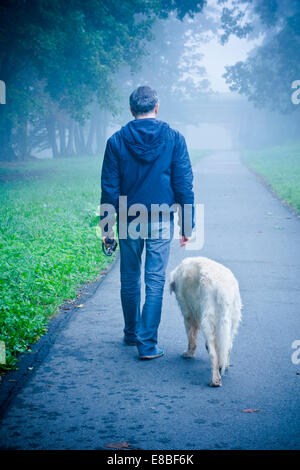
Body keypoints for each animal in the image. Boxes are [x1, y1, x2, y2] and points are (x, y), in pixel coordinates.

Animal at [170, 258, 243, 386]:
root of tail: (223, 290)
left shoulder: (188, 314)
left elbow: (191, 338)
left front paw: (189, 353)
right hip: (232, 321)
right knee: (227, 347)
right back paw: (223, 365)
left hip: (207, 321)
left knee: (213, 355)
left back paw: (215, 379)